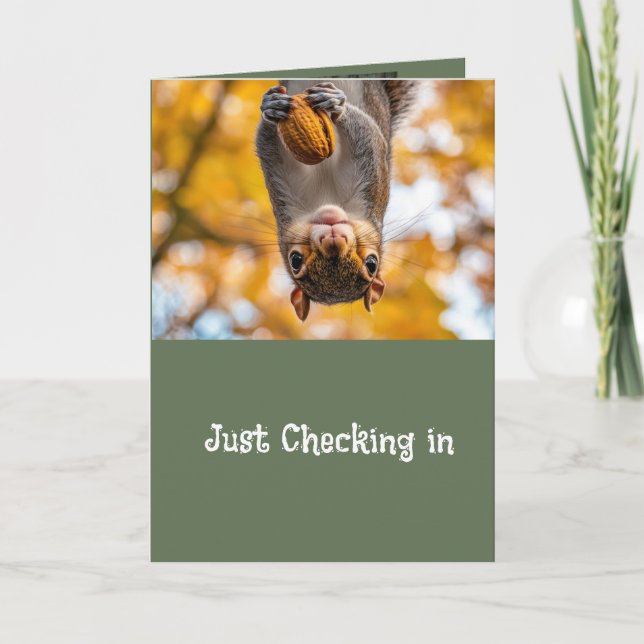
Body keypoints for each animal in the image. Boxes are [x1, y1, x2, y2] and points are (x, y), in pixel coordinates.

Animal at [256, 79, 417, 321]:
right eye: (295, 260)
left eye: (372, 264)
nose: (334, 238)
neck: (327, 199)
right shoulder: (283, 189)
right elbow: (267, 142)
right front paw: (271, 106)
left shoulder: (371, 184)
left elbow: (367, 137)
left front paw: (337, 105)